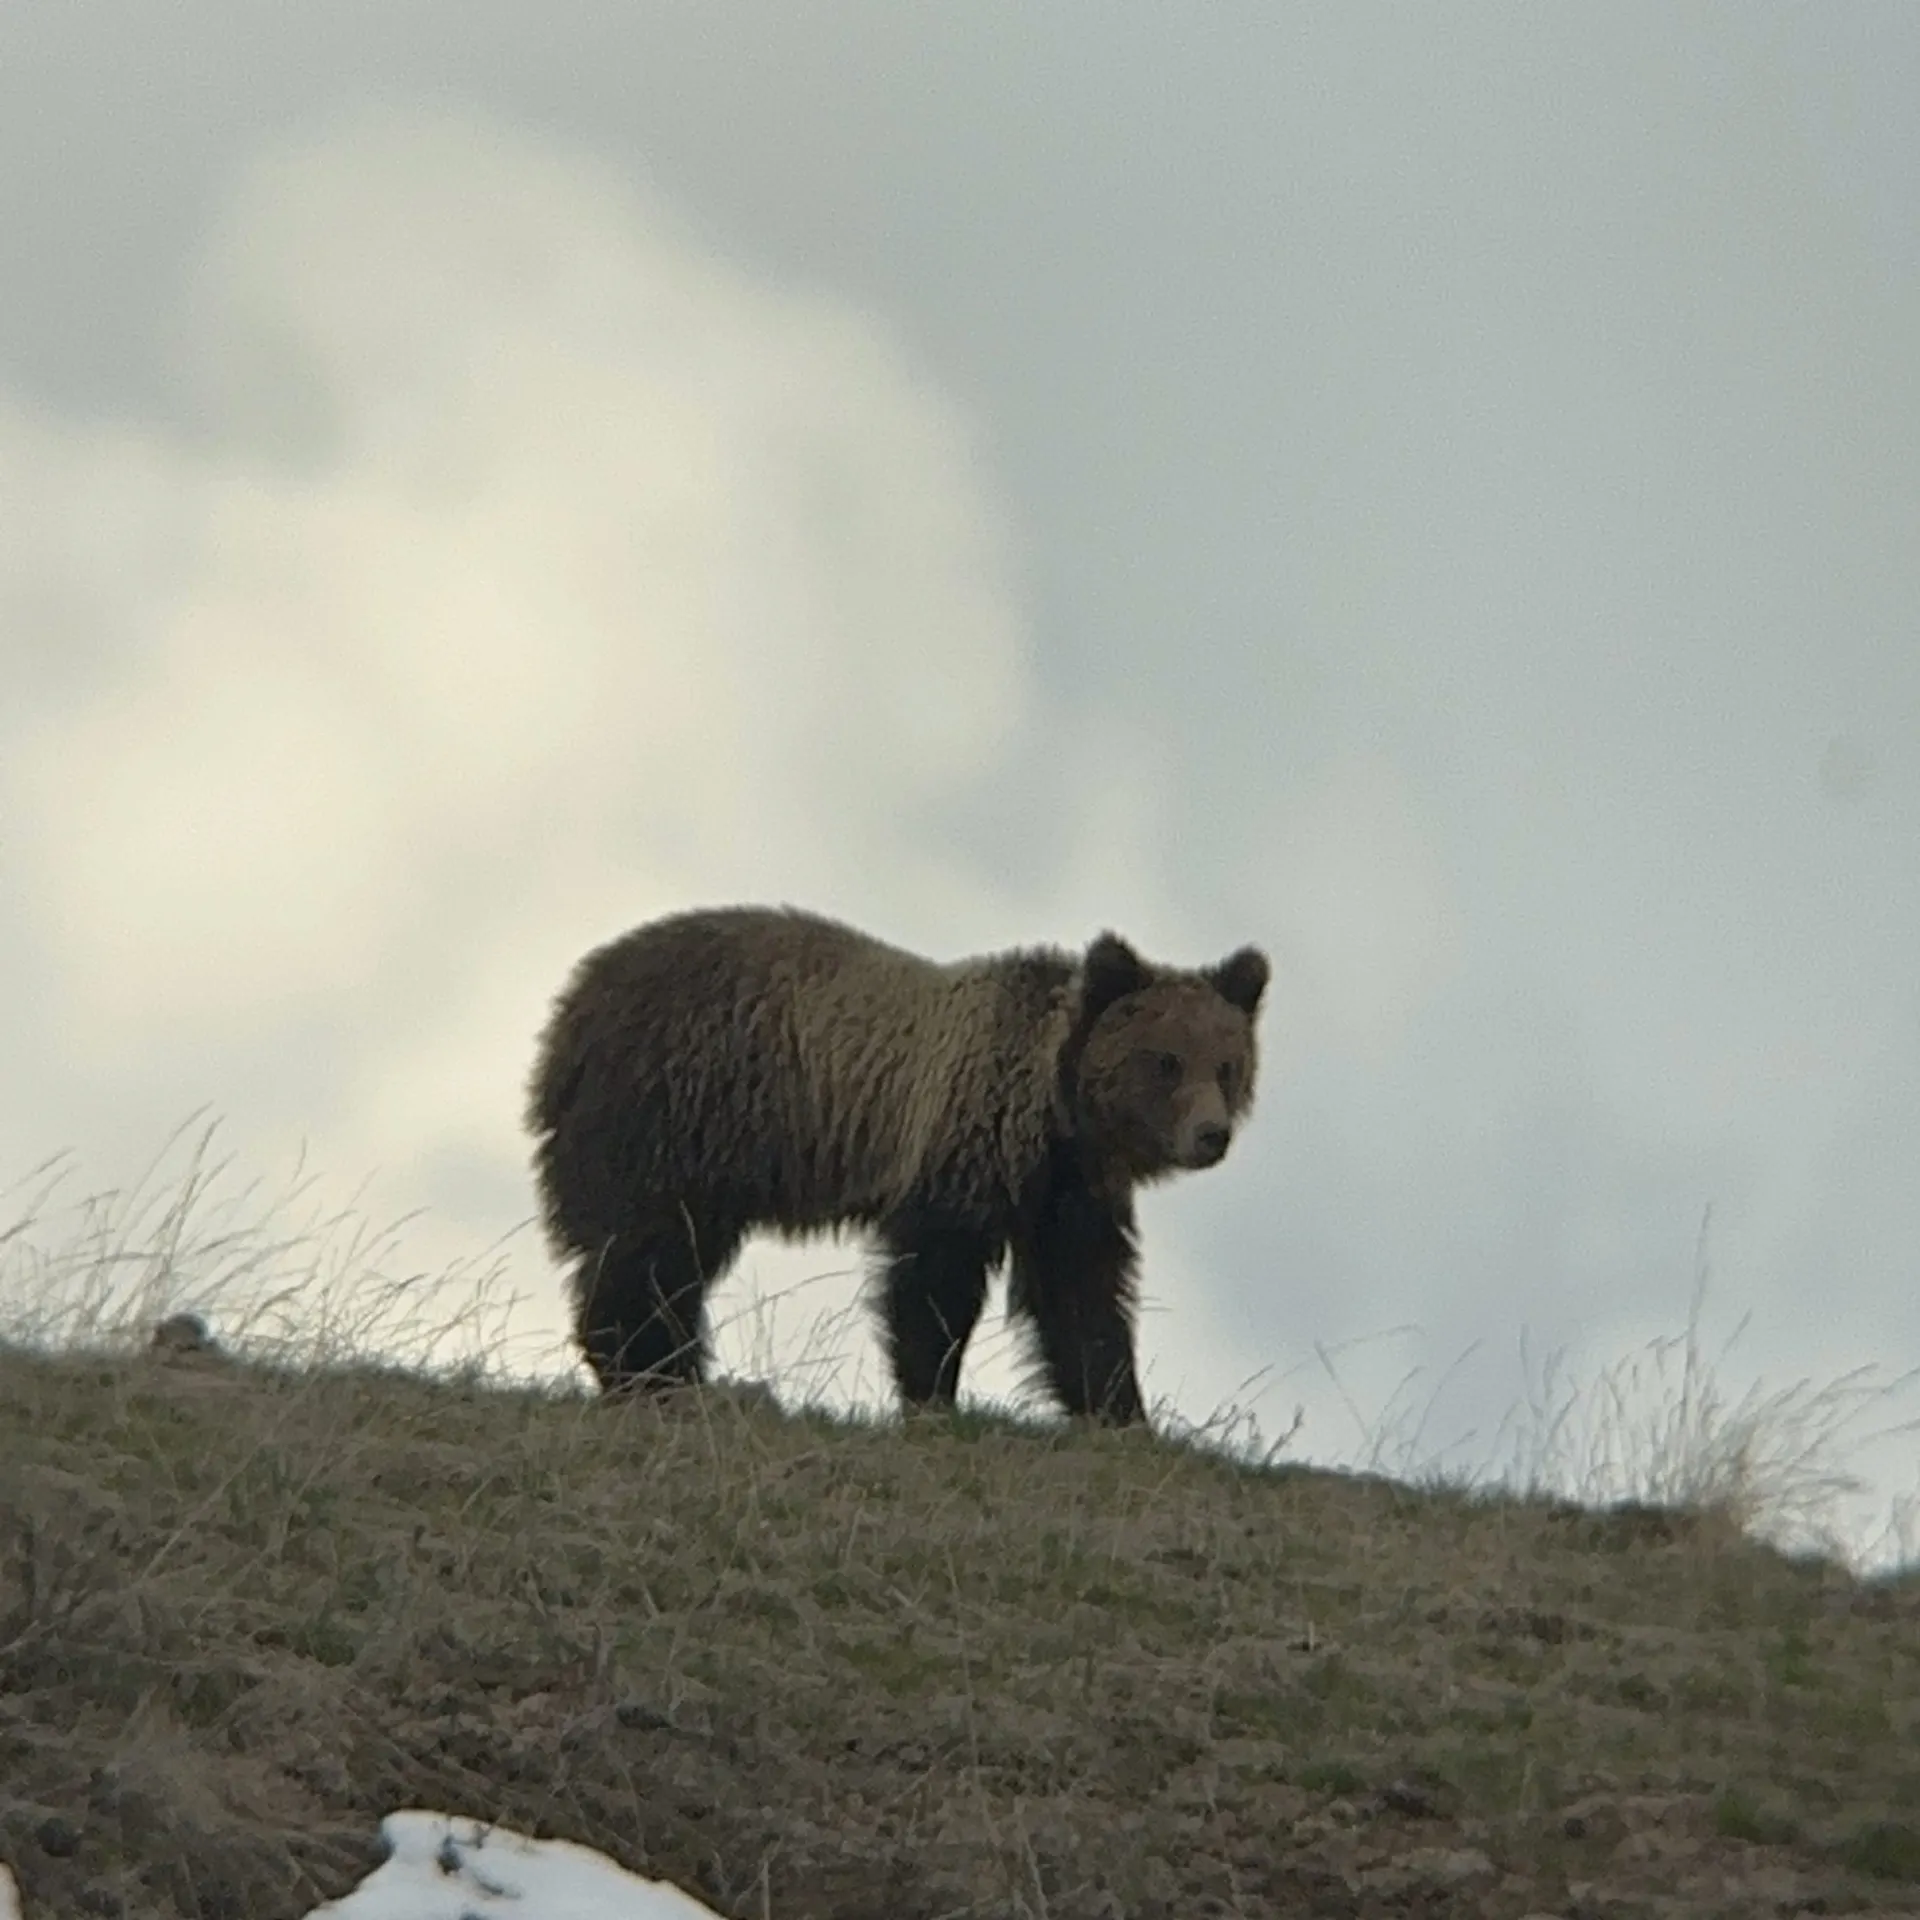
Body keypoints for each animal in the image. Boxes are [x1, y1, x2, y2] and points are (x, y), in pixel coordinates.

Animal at [526, 905, 1269, 1426]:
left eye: (1226, 1065)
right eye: (1165, 1061)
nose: (1211, 1135)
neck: (1054, 1116)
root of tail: (570, 1009)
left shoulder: (1068, 1195)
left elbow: (1082, 1296)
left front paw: (1124, 1413)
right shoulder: (961, 1148)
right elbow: (933, 1283)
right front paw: (934, 1398)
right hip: (673, 1111)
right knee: (647, 1253)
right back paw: (657, 1376)